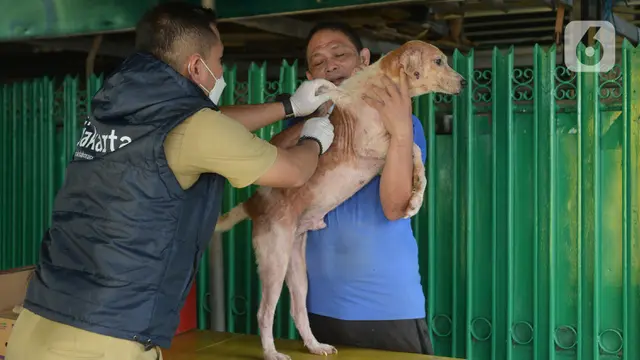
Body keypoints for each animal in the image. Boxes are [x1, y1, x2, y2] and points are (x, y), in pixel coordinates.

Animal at [215, 39, 464, 360]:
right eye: (438, 61)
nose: (464, 82)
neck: (381, 84)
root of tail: (254, 202)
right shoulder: (372, 144)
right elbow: (409, 147)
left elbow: (416, 153)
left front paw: (415, 199)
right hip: (275, 259)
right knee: (263, 313)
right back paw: (271, 352)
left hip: (297, 267)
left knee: (298, 310)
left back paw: (314, 345)